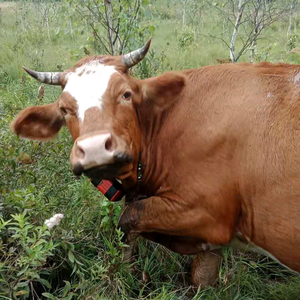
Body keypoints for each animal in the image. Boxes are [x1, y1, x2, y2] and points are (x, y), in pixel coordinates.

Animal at [10, 38, 300, 288]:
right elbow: (201, 279)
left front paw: (127, 270)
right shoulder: (210, 240)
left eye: (126, 94)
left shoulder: (209, 214)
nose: (94, 148)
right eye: (64, 109)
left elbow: (128, 219)